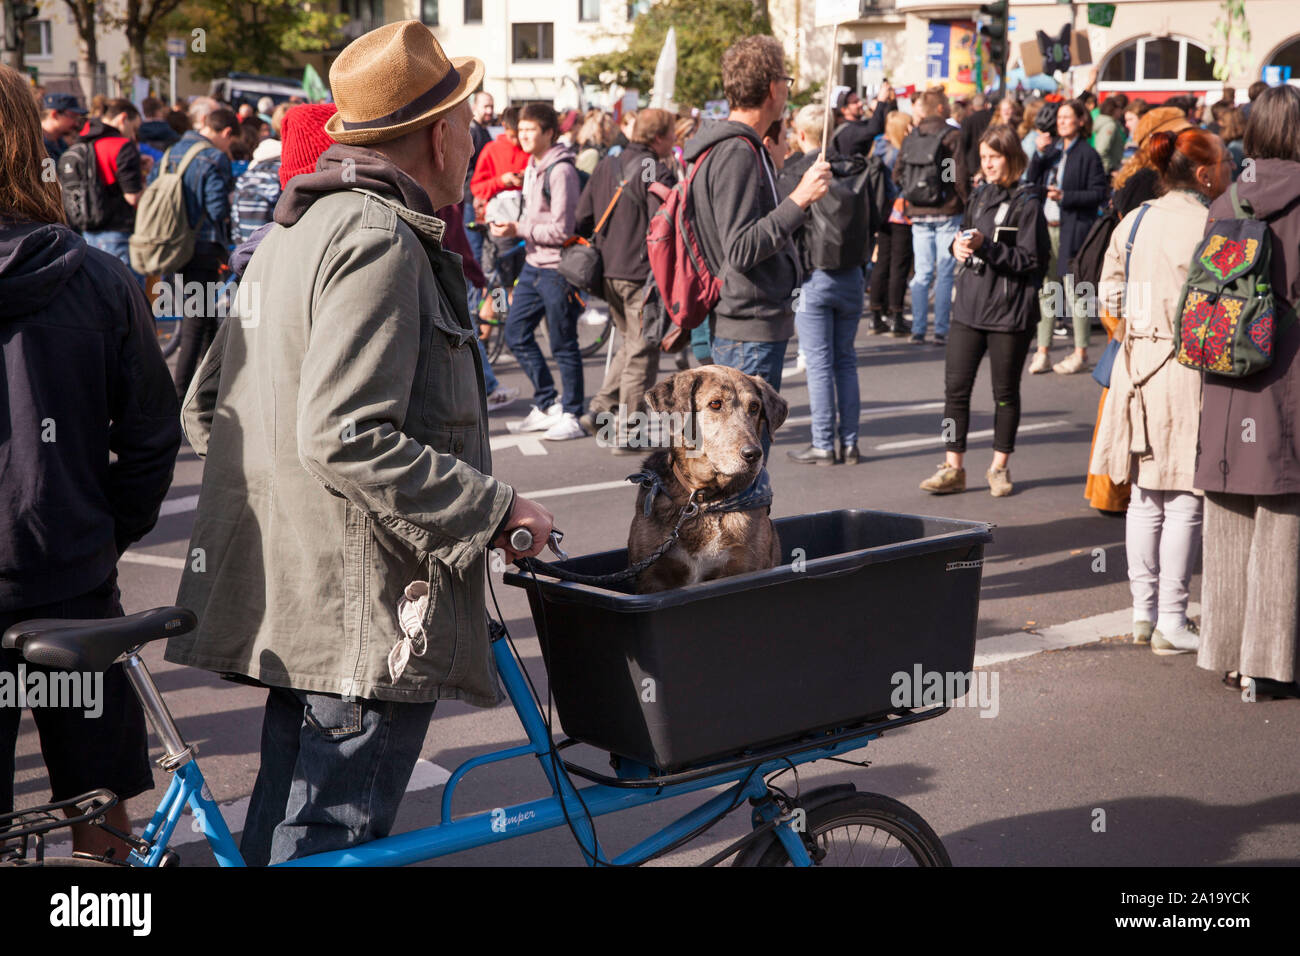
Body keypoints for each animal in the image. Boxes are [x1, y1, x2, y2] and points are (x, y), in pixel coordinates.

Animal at [624, 364, 785, 590]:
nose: (753, 454)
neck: (705, 502)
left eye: (754, 407)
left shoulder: (745, 567)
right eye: (715, 404)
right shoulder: (651, 579)